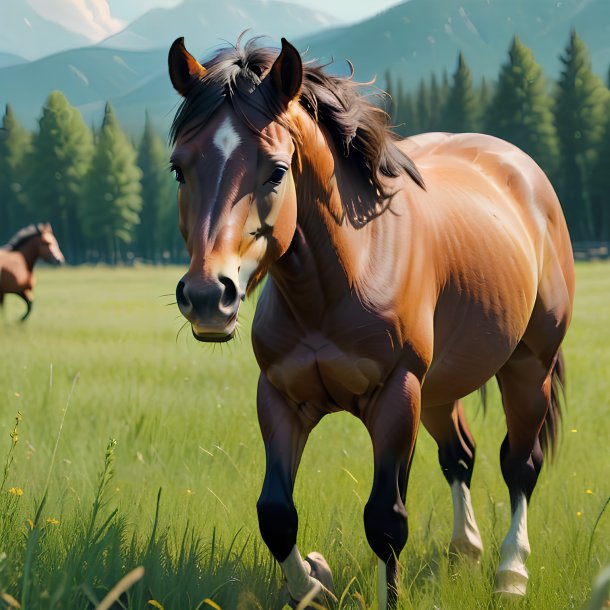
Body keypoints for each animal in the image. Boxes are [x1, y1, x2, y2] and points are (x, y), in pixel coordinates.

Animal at [167, 39, 576, 608]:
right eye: (179, 169)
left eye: (276, 171)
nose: (208, 296)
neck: (342, 278)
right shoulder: (280, 397)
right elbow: (276, 514)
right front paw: (314, 580)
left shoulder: (395, 394)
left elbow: (386, 519)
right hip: (440, 387)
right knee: (460, 456)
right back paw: (464, 550)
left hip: (527, 366)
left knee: (520, 465)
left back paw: (510, 575)